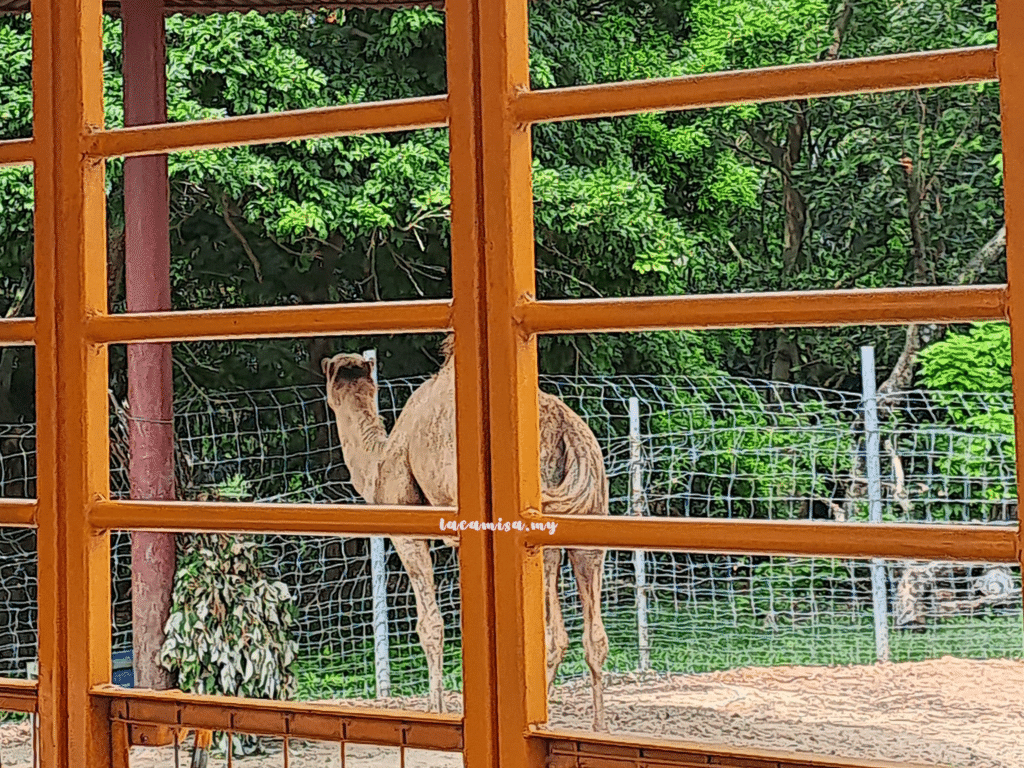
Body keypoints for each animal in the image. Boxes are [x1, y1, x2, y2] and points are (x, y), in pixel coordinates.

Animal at [319, 337, 606, 733]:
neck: (378, 464)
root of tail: (566, 428)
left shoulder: (409, 529)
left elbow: (431, 624)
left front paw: (436, 709)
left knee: (551, 634)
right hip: (590, 514)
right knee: (591, 633)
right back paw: (597, 728)